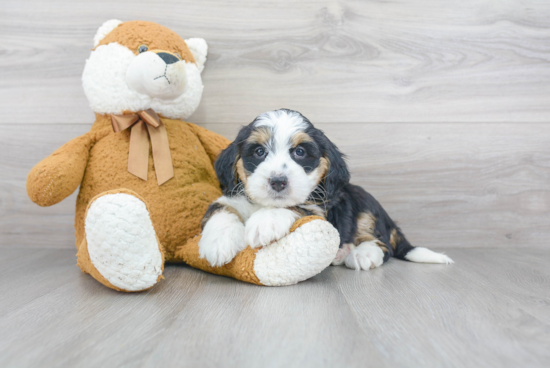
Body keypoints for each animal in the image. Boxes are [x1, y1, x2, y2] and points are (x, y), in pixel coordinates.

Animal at [198, 108, 452, 268]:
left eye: (300, 152)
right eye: (259, 152)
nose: (278, 181)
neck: (262, 203)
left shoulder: (319, 210)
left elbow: (294, 206)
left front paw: (265, 222)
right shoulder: (232, 197)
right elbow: (221, 209)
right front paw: (218, 243)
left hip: (365, 205)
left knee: (383, 244)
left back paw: (362, 254)